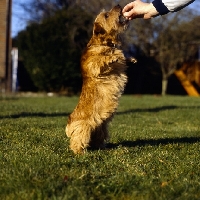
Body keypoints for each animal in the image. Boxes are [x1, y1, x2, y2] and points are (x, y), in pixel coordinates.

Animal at [65, 5, 136, 155]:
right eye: (107, 15)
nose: (118, 5)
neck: (105, 43)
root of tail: (69, 121)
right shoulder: (93, 66)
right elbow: (102, 60)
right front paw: (112, 57)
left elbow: (123, 59)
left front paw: (131, 59)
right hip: (84, 128)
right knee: (77, 140)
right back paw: (79, 152)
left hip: (101, 128)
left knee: (97, 139)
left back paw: (102, 147)